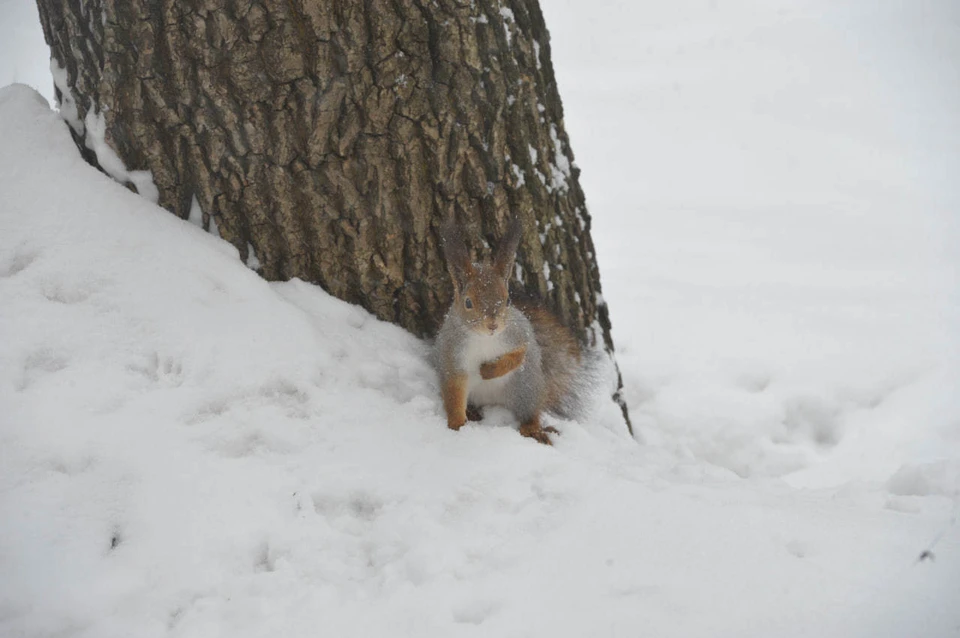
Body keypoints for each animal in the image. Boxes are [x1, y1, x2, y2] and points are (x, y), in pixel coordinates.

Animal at [436, 220, 584, 444]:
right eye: (468, 302)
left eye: (507, 300)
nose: (493, 325)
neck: (484, 339)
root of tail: (492, 402)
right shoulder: (452, 355)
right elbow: (454, 393)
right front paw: (456, 424)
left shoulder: (519, 335)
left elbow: (518, 355)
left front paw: (489, 371)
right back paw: (472, 413)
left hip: (526, 389)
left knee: (529, 414)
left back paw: (534, 430)